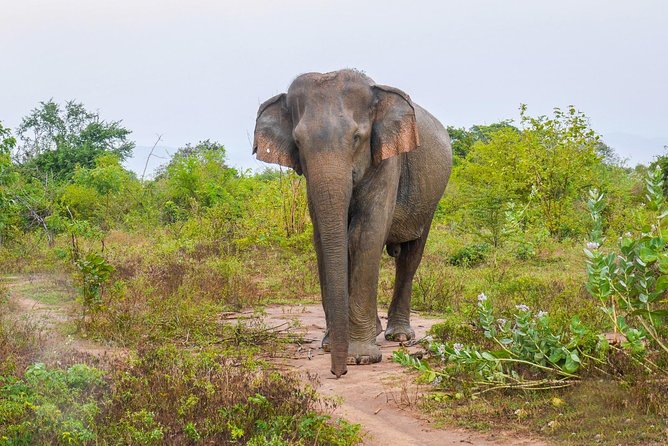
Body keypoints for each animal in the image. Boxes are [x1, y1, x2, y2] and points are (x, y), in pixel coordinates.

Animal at [252, 69, 451, 377]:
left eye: (357, 137)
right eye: (298, 142)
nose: (338, 372)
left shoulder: (387, 159)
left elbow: (364, 235)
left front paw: (361, 357)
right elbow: (325, 239)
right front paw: (330, 344)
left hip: (431, 199)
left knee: (410, 256)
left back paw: (399, 336)